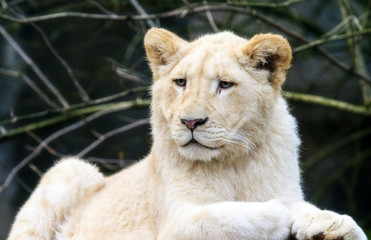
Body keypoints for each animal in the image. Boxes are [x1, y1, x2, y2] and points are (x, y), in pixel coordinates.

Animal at [7, 28, 368, 240]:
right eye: (181, 82)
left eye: (225, 85)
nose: (191, 122)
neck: (233, 162)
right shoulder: (174, 223)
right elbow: (219, 218)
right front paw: (278, 213)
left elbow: (309, 209)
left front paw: (335, 224)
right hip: (70, 170)